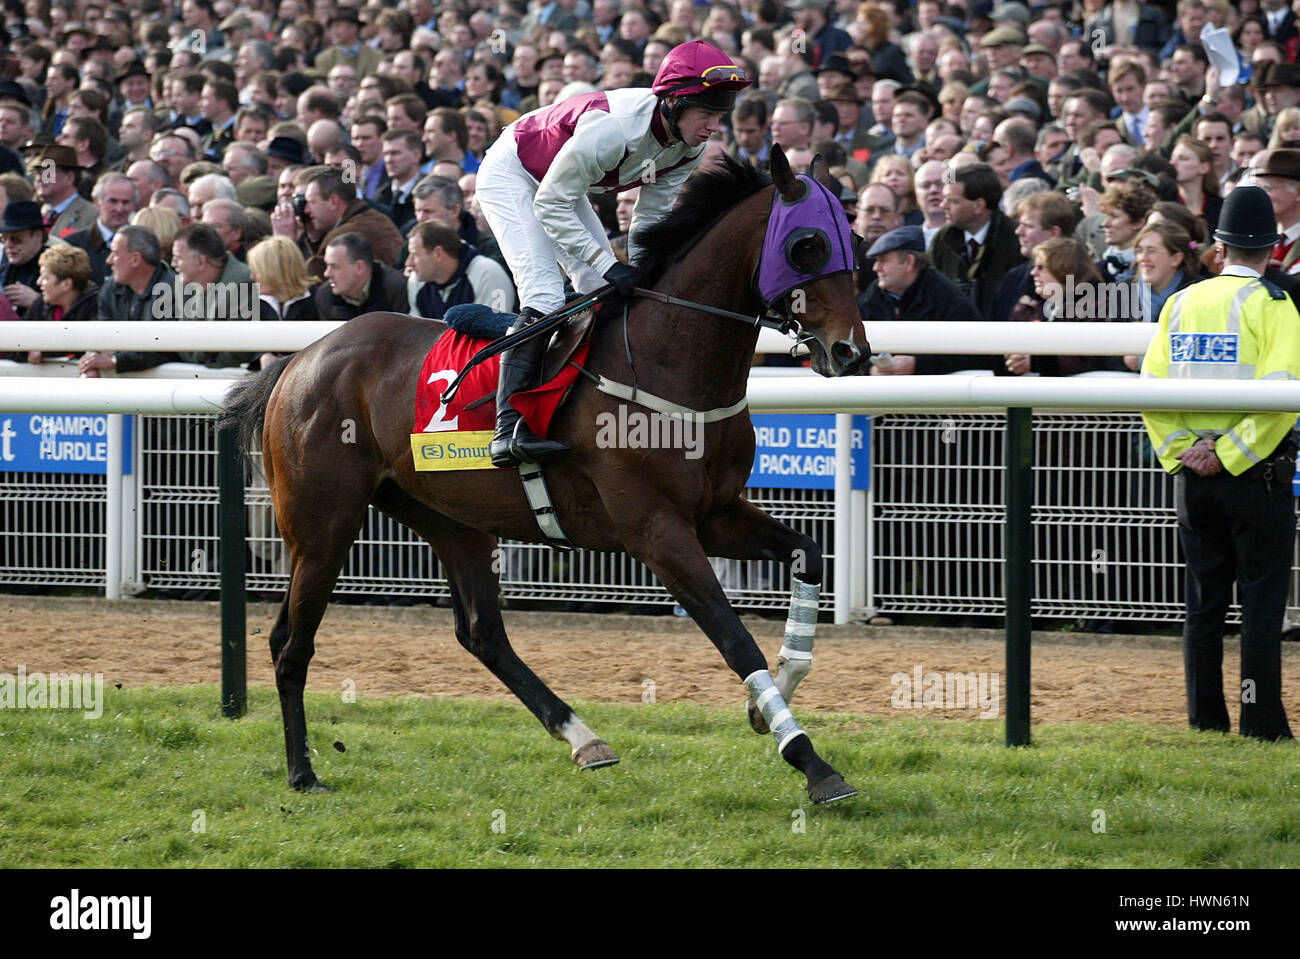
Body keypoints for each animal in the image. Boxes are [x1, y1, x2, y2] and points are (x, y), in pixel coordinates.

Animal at [223, 147, 873, 800]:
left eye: (858, 241)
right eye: (808, 246)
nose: (851, 352)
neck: (668, 362)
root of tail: (297, 361)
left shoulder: (714, 512)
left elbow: (808, 554)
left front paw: (769, 705)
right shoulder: (656, 531)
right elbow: (735, 640)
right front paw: (811, 762)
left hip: (449, 518)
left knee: (481, 633)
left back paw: (583, 738)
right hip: (323, 526)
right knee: (291, 642)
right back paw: (303, 772)